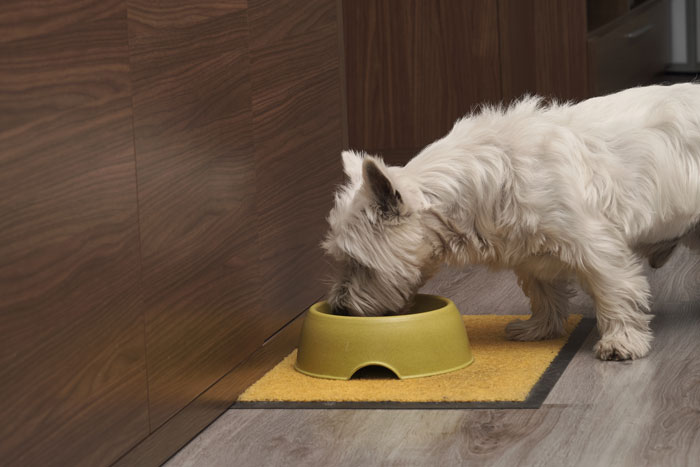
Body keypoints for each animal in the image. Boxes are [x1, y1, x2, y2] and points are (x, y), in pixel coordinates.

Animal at [322, 84, 700, 362]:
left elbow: (615, 291)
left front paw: (621, 342)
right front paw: (539, 329)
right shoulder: (530, 253)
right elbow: (544, 294)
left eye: (358, 263)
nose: (339, 307)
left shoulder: (597, 247)